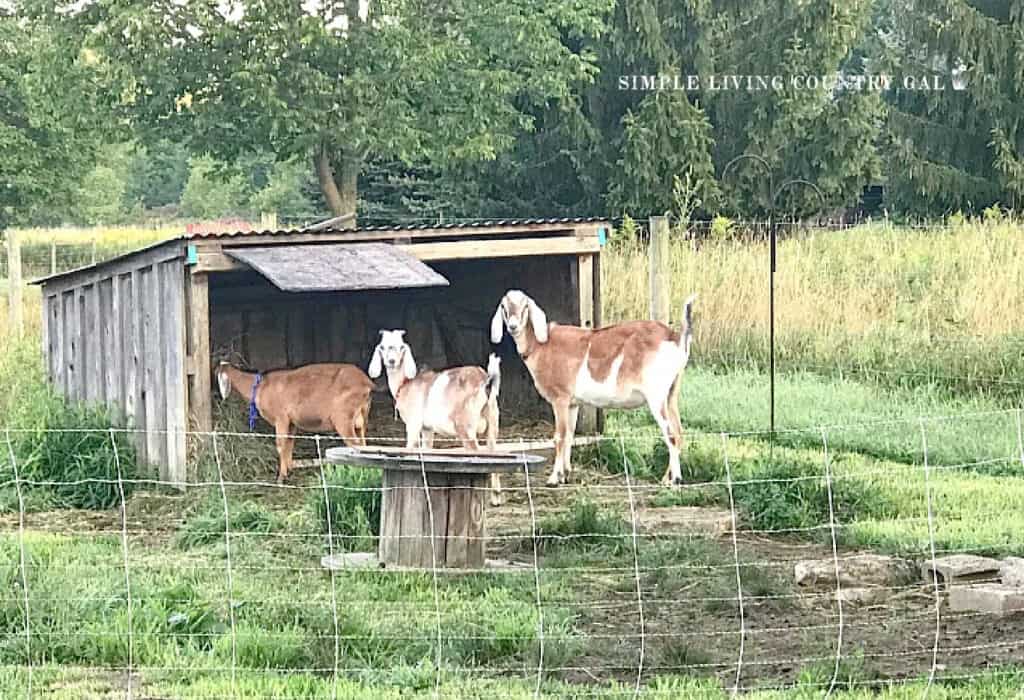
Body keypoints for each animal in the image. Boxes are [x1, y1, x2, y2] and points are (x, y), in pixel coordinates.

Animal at [216, 360, 376, 480]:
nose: (222, 398)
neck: (259, 388)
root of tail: (366, 383)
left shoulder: (281, 418)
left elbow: (280, 445)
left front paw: (281, 478)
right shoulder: (291, 422)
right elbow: (289, 444)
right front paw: (289, 470)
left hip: (343, 418)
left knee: (355, 445)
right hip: (361, 419)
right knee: (363, 446)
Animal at [368, 331, 503, 505]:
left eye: (401, 347)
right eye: (383, 347)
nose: (391, 361)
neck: (405, 384)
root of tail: (486, 381)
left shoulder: (413, 423)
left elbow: (410, 447)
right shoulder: (427, 429)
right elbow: (427, 449)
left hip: (466, 427)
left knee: (477, 452)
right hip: (493, 420)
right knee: (494, 453)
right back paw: (495, 498)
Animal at [487, 290, 696, 487]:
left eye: (525, 307)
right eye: (504, 307)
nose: (513, 326)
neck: (541, 345)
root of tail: (676, 338)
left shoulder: (560, 398)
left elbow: (559, 436)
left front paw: (553, 478)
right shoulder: (572, 403)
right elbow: (570, 435)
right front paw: (565, 474)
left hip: (656, 396)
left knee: (671, 435)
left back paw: (676, 480)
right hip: (671, 394)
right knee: (679, 433)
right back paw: (666, 479)